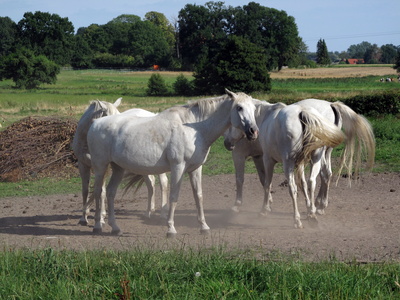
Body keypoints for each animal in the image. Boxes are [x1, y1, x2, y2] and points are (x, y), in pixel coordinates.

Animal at [87, 90, 260, 236]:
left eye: (253, 108)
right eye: (239, 107)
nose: (253, 131)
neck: (194, 128)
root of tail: (95, 123)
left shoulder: (196, 169)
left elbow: (198, 196)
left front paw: (204, 227)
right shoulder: (178, 167)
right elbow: (174, 196)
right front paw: (171, 229)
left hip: (118, 168)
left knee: (110, 192)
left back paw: (115, 228)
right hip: (101, 167)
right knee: (98, 192)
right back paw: (97, 226)